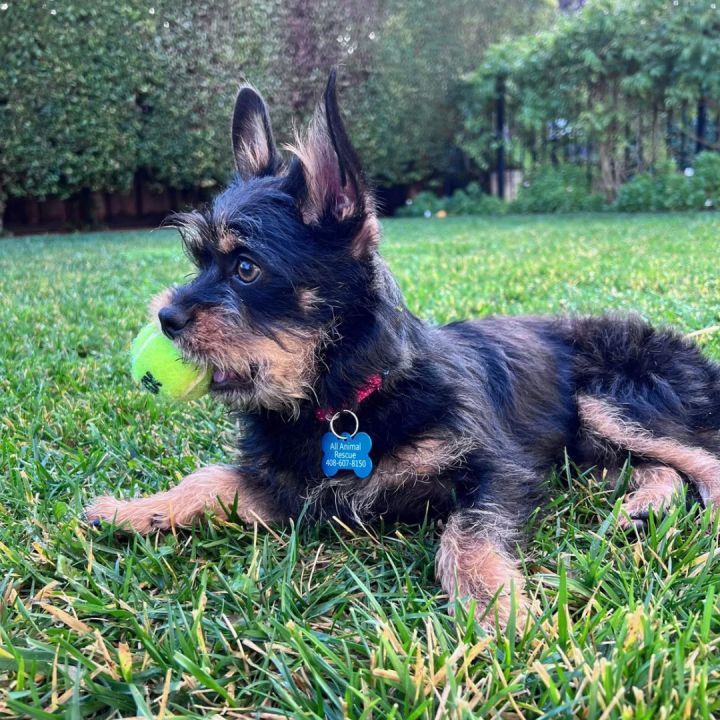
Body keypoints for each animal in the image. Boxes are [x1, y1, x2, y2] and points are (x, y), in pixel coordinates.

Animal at [86, 73, 720, 632]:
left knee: (700, 460)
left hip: (613, 401)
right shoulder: (290, 490)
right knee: (658, 468)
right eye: (198, 261)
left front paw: (495, 606)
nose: (165, 319)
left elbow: (465, 532)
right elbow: (210, 477)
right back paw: (643, 506)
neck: (345, 399)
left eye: (246, 268)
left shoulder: (500, 468)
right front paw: (136, 509)